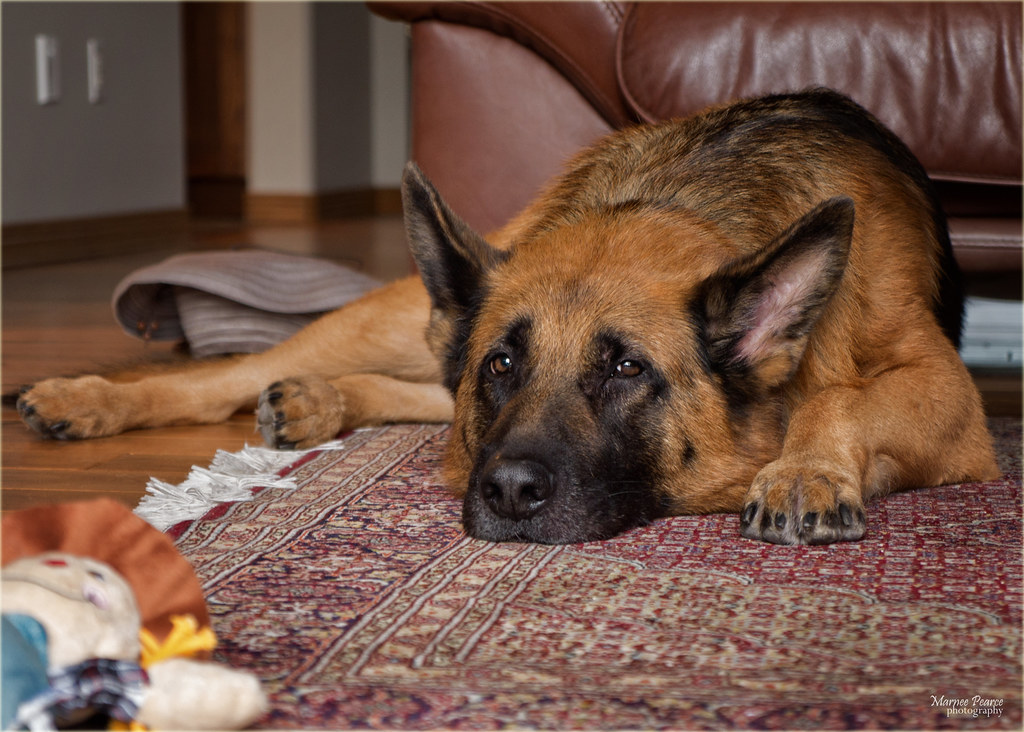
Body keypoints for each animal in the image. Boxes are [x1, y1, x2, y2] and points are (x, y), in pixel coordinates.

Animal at [16, 90, 995, 544]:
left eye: (626, 368)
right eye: (504, 365)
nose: (511, 493)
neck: (677, 204)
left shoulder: (950, 400)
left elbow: (839, 397)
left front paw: (805, 471)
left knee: (414, 402)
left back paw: (321, 401)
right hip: (403, 311)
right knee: (232, 372)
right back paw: (88, 396)